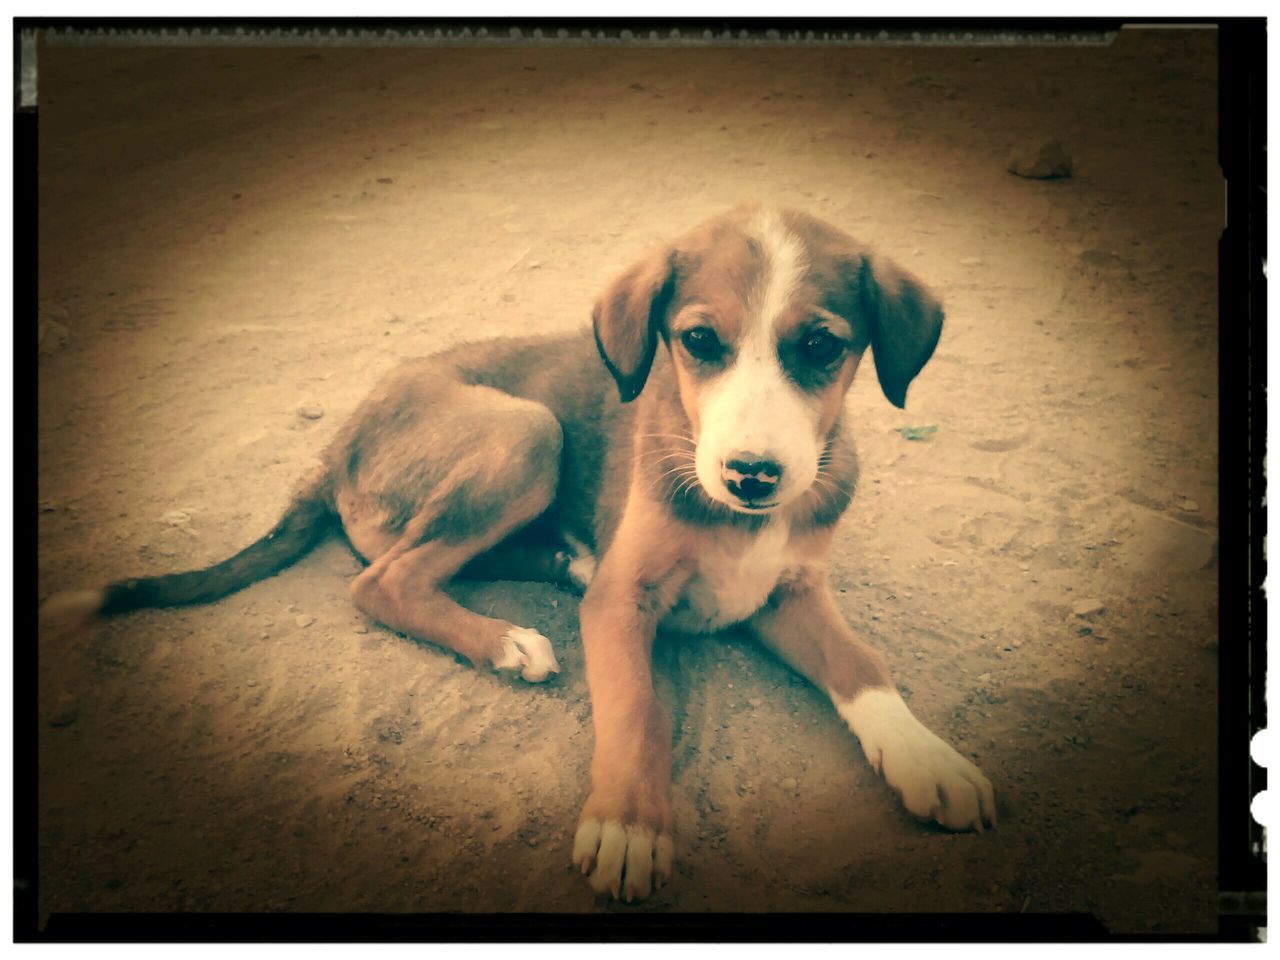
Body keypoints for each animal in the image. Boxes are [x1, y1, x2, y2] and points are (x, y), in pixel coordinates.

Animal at [45, 203, 993, 901]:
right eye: (698, 342)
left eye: (822, 346)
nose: (753, 475)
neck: (740, 518)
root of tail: (340, 436)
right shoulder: (624, 603)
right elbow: (637, 708)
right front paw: (628, 825)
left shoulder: (789, 591)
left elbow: (863, 664)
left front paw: (927, 758)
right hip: (527, 431)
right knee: (382, 580)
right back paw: (505, 639)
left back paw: (557, 564)